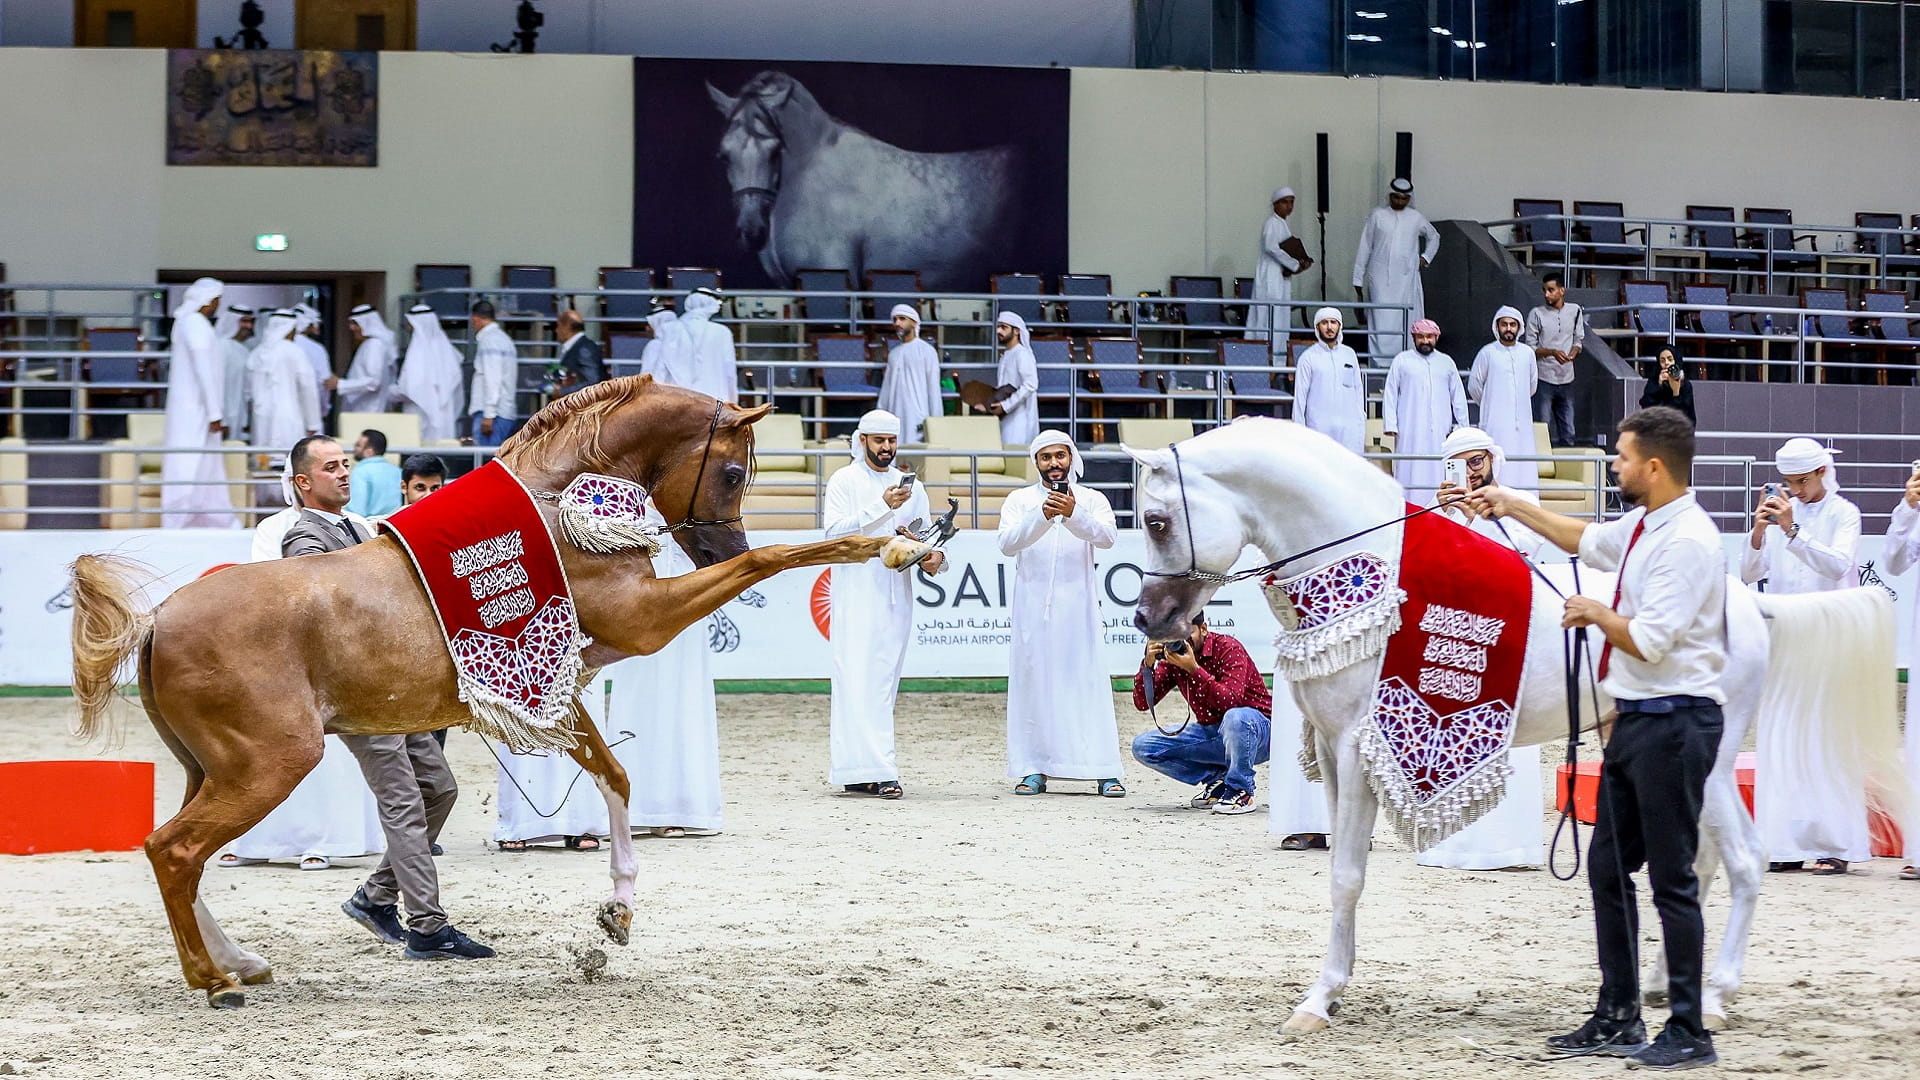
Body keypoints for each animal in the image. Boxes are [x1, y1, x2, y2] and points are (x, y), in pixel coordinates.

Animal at [67, 374, 890, 1006]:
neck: (560, 505)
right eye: (733, 472)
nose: (723, 544)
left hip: (212, 767)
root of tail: (157, 620)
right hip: (270, 763)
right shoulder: (644, 621)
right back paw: (215, 980)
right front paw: (883, 543)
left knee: (178, 854)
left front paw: (617, 912)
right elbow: (776, 560)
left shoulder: (558, 681)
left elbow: (616, 776)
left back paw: (239, 962)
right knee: (176, 851)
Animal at [1121, 417, 1896, 1030]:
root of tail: (1744, 602)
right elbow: (1342, 873)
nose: (1150, 621)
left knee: (1744, 859)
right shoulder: (1343, 759)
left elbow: (1345, 876)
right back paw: (1662, 986)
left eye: (1157, 522)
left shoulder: (1358, 750)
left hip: (1709, 761)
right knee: (1702, 861)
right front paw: (1332, 991)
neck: (1371, 572)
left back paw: (1713, 997)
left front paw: (1317, 1002)